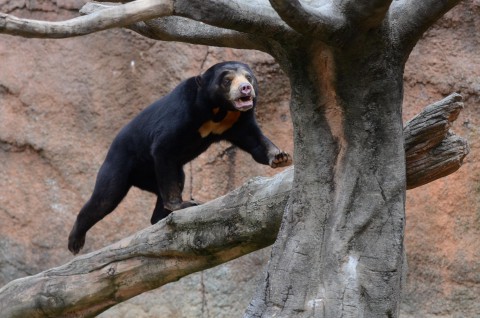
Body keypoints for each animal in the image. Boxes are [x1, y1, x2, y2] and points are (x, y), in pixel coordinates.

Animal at [67, 60, 292, 253]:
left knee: (175, 180)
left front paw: (281, 157)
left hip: (151, 175)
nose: (245, 88)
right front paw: (181, 204)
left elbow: (255, 142)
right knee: (105, 197)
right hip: (120, 163)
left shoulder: (237, 121)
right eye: (227, 80)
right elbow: (163, 146)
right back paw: (75, 241)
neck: (219, 110)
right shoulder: (183, 113)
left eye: (248, 77)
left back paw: (158, 220)